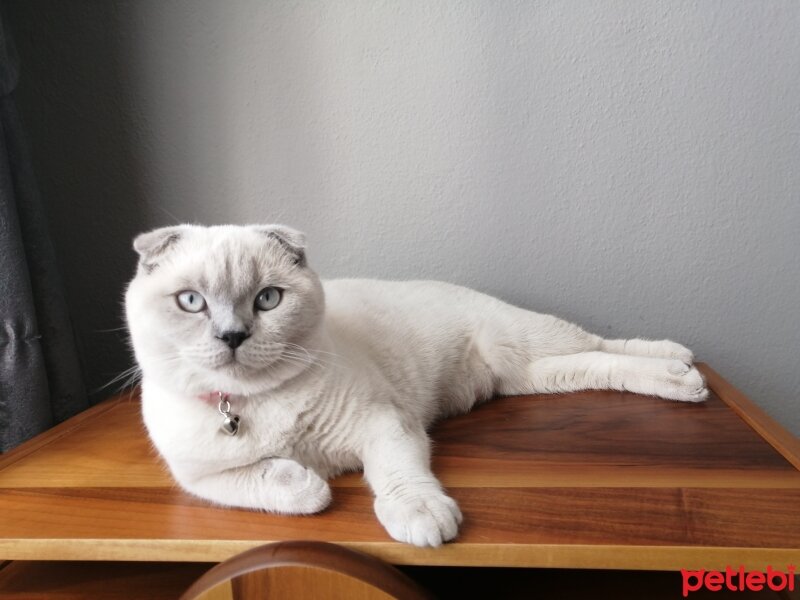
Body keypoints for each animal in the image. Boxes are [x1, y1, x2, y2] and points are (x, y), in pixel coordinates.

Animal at [125, 223, 708, 548]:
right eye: (192, 302)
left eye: (268, 299)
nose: (232, 336)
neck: (253, 403)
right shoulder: (200, 478)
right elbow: (280, 487)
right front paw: (310, 482)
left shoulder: (385, 425)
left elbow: (398, 477)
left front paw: (422, 520)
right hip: (533, 375)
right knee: (597, 362)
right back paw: (682, 373)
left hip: (533, 339)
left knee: (610, 344)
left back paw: (683, 367)